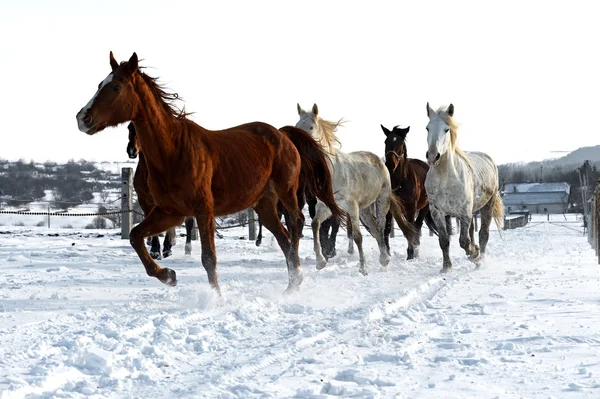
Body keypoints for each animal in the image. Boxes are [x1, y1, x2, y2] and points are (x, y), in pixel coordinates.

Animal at [126, 123, 196, 258]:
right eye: (129, 127)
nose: (132, 150)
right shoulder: (144, 199)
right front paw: (155, 250)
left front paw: (166, 248)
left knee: (189, 224)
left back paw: (187, 248)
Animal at [294, 104, 412, 276]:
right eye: (297, 126)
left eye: (311, 127)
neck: (333, 172)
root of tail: (380, 161)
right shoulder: (326, 206)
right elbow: (316, 224)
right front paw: (320, 262)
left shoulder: (351, 207)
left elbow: (357, 236)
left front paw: (363, 268)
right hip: (364, 211)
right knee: (375, 230)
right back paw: (384, 257)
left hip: (381, 203)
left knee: (381, 228)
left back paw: (385, 259)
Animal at [382, 125, 438, 260]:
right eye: (386, 142)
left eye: (401, 143)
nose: (390, 164)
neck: (400, 181)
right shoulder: (389, 208)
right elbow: (387, 228)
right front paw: (387, 253)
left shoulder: (411, 207)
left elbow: (411, 227)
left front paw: (410, 253)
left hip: (424, 208)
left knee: (417, 226)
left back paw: (415, 250)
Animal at [424, 103, 504, 274]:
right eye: (427, 128)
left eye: (447, 129)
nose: (433, 156)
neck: (445, 177)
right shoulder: (437, 212)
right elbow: (444, 240)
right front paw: (446, 267)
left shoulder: (464, 212)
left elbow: (464, 241)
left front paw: (474, 254)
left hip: (487, 205)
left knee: (483, 234)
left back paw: (480, 260)